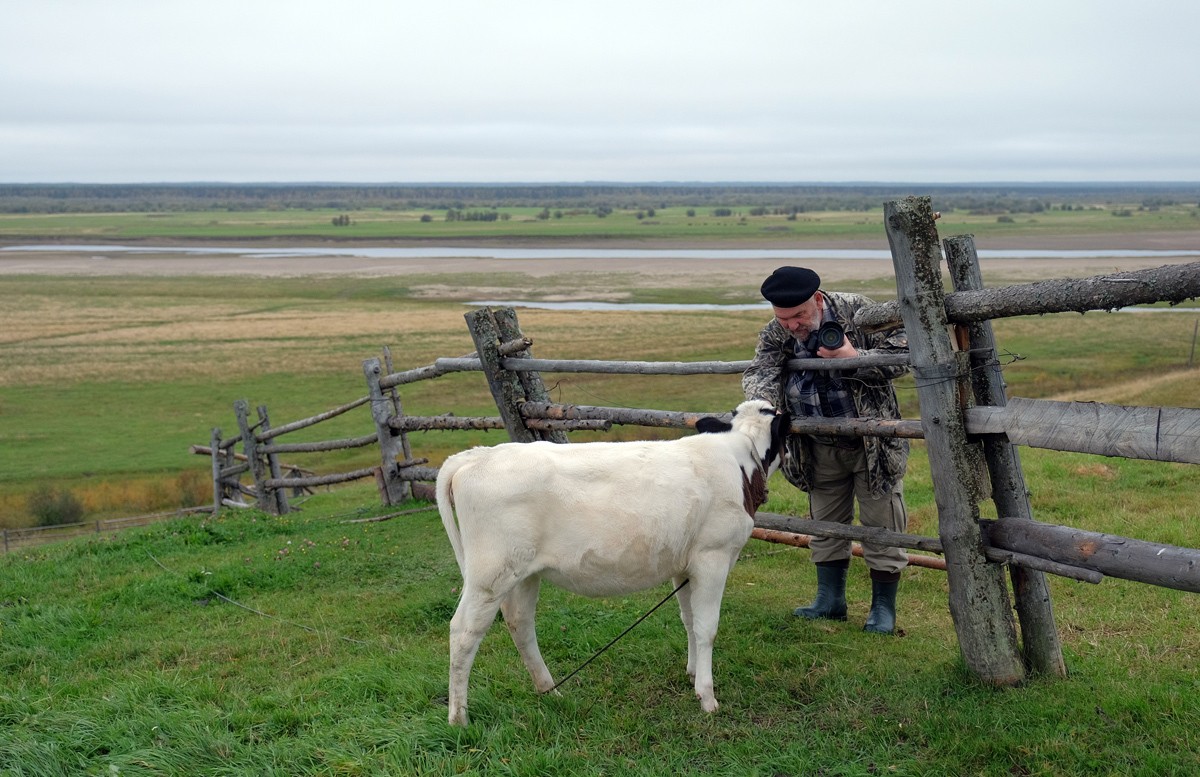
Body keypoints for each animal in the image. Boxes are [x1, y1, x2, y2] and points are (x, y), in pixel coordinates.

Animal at [436, 400, 792, 729]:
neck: (738, 462)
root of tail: (476, 456)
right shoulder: (713, 557)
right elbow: (707, 628)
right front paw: (707, 696)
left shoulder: (683, 565)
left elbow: (689, 620)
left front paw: (692, 673)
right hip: (489, 576)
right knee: (464, 632)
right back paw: (459, 718)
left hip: (522, 574)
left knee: (519, 624)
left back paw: (549, 690)